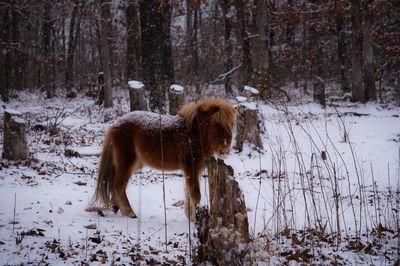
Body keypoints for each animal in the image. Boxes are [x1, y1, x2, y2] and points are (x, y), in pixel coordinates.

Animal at [89, 98, 236, 219]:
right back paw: (130, 212)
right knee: (119, 186)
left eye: (231, 126)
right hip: (126, 162)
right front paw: (195, 220)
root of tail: (115, 125)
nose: (225, 149)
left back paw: (117, 207)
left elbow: (189, 194)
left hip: (134, 164)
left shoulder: (195, 170)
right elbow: (195, 195)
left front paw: (191, 217)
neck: (192, 133)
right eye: (217, 124)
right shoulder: (191, 168)